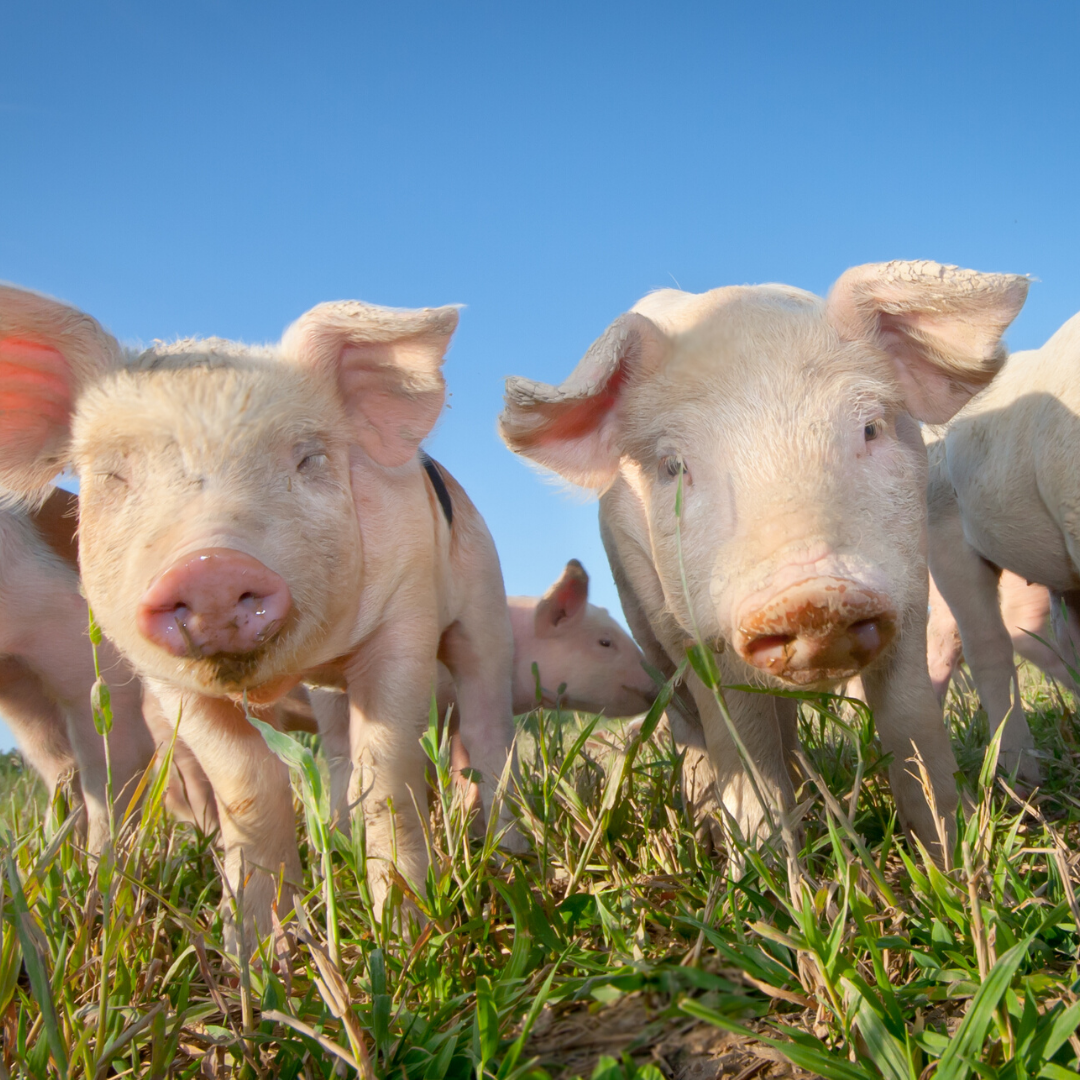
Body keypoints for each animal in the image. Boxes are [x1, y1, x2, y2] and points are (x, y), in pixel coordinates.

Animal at [0, 280, 518, 946]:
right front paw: (252, 945)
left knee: (485, 722)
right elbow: (247, 785)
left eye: (308, 458)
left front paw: (403, 932)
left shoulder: (405, 616)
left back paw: (509, 848)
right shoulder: (168, 685)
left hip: (484, 598)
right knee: (336, 752)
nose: (211, 566)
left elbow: (388, 770)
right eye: (113, 476)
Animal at [498, 261, 1028, 859]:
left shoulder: (911, 587)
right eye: (673, 466)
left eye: (870, 427)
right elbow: (741, 744)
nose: (810, 597)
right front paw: (764, 868)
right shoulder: (694, 633)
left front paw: (952, 854)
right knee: (690, 727)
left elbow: (910, 720)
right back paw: (708, 823)